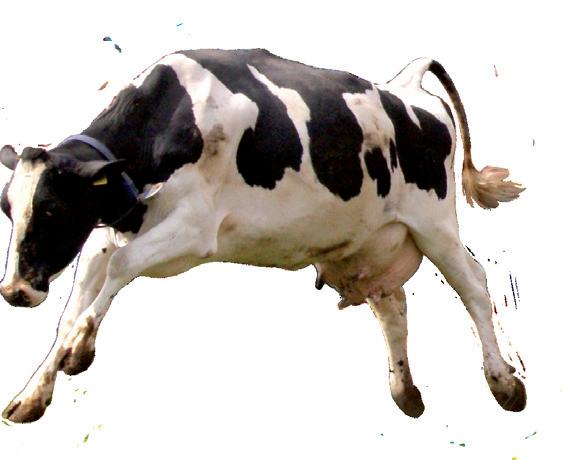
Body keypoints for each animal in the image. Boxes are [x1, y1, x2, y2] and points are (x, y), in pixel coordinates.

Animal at [0, 49, 525, 423]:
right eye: (8, 208)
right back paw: (405, 390)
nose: (14, 291)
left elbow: (120, 268)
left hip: (435, 224)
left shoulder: (195, 228)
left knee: (474, 286)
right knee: (392, 306)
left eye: (51, 208)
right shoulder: (109, 233)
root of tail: (406, 86)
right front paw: (32, 394)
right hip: (369, 239)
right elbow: (73, 308)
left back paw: (504, 382)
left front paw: (79, 350)